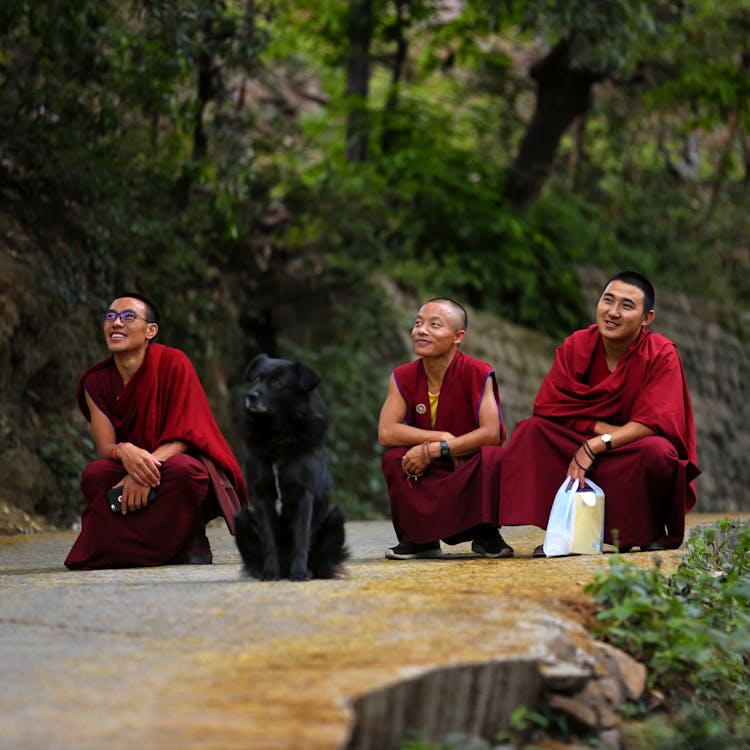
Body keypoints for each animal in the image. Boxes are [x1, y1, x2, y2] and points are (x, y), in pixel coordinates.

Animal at [235, 356, 350, 584]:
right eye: (257, 378)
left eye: (277, 382)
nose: (250, 396)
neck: (277, 434)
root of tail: (285, 568)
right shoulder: (261, 495)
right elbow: (268, 540)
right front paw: (270, 572)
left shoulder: (304, 495)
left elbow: (301, 538)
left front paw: (299, 573)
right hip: (241, 518)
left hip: (335, 516)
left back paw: (308, 571)